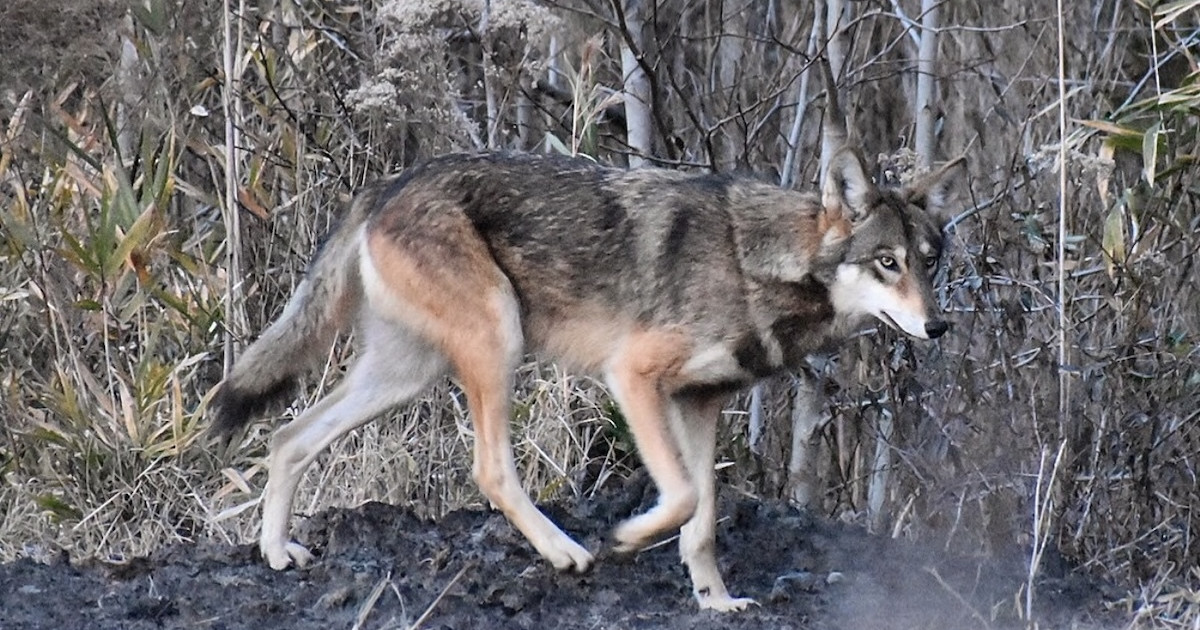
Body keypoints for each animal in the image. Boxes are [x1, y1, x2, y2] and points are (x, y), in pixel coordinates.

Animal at [212, 147, 963, 611]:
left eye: (929, 261)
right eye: (888, 262)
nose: (938, 327)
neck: (757, 263)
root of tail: (388, 184)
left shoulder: (700, 404)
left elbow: (704, 520)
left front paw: (717, 602)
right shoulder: (633, 377)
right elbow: (683, 498)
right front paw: (627, 539)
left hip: (405, 375)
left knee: (287, 437)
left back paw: (275, 552)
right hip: (497, 345)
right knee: (489, 470)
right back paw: (568, 553)